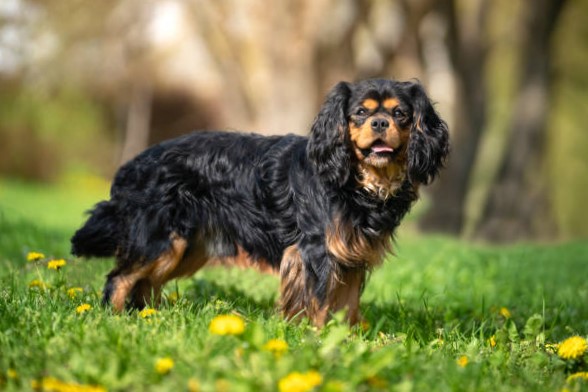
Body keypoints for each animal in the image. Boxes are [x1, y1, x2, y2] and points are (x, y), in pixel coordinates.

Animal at [73, 78, 450, 326]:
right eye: (359, 112)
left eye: (401, 114)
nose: (380, 122)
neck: (357, 180)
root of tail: (132, 166)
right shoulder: (317, 250)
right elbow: (320, 301)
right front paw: (317, 338)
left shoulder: (351, 256)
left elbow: (348, 305)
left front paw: (347, 342)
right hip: (160, 240)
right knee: (119, 279)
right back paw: (115, 320)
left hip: (185, 248)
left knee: (145, 284)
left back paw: (148, 320)